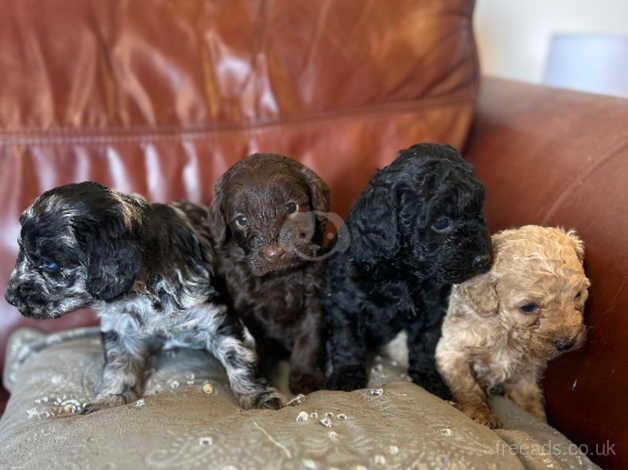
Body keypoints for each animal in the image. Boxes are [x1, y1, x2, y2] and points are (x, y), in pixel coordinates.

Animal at [3, 182, 284, 414]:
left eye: (49, 265)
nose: (9, 297)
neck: (142, 295)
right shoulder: (120, 328)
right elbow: (119, 366)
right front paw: (110, 398)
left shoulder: (217, 318)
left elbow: (240, 358)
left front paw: (257, 397)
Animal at [210, 153, 332, 392]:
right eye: (242, 220)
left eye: (292, 207)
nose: (275, 253)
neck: (279, 277)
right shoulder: (246, 309)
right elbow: (256, 344)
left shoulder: (314, 299)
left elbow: (309, 339)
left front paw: (306, 377)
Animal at [322, 143, 494, 396]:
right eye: (441, 222)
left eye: (478, 213)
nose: (484, 259)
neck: (404, 271)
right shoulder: (346, 302)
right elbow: (348, 340)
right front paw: (347, 377)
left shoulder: (431, 309)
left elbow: (425, 342)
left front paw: (428, 378)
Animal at [436, 226, 588, 428]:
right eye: (528, 307)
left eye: (578, 295)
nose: (567, 343)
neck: (505, 328)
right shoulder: (451, 350)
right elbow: (466, 385)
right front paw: (479, 413)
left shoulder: (525, 371)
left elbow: (530, 400)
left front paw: (537, 418)